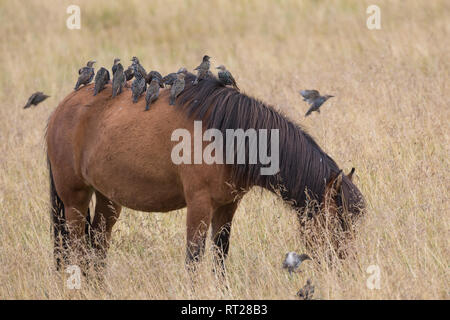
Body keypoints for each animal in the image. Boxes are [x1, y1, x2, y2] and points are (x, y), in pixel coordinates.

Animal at [45, 73, 366, 276]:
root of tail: (62, 109)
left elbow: (220, 256)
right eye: (338, 224)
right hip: (74, 199)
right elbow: (194, 258)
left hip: (108, 199)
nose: (347, 268)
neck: (228, 136)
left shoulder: (227, 206)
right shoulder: (199, 205)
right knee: (77, 245)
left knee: (97, 244)